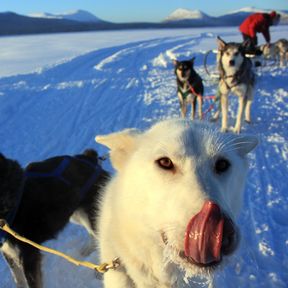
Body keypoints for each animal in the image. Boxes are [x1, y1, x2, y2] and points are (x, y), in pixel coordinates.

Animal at [0, 150, 108, 288]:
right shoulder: (8, 251)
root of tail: (89, 158)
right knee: (93, 235)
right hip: (76, 214)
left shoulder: (28, 255)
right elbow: (18, 280)